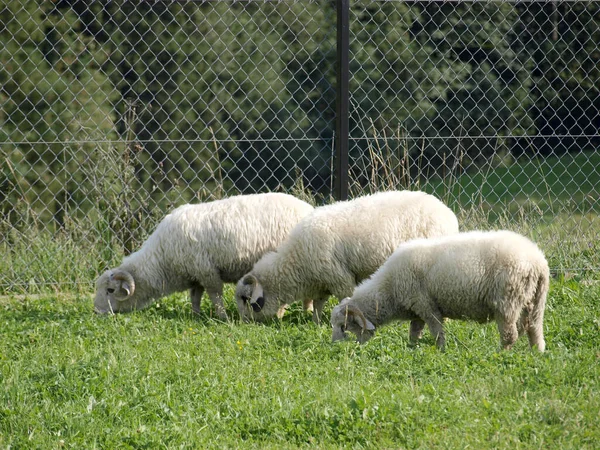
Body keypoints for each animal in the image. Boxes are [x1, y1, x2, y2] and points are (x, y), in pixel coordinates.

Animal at [94, 193, 314, 320]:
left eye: (110, 290)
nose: (97, 312)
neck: (161, 257)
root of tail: (308, 209)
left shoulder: (206, 271)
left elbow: (215, 295)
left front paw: (222, 318)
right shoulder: (195, 275)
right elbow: (195, 296)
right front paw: (196, 315)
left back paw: (289, 313)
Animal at [236, 190, 460, 324]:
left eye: (247, 300)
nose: (244, 323)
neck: (296, 261)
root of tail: (447, 212)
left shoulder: (339, 277)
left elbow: (345, 299)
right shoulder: (322, 281)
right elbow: (318, 303)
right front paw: (316, 323)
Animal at [330, 232, 552, 352]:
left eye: (344, 326)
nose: (333, 345)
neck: (388, 289)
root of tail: (537, 261)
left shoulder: (426, 306)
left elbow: (437, 332)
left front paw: (440, 351)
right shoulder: (417, 310)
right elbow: (414, 332)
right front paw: (412, 349)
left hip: (507, 300)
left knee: (510, 334)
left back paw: (500, 353)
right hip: (535, 298)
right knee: (533, 327)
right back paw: (536, 352)